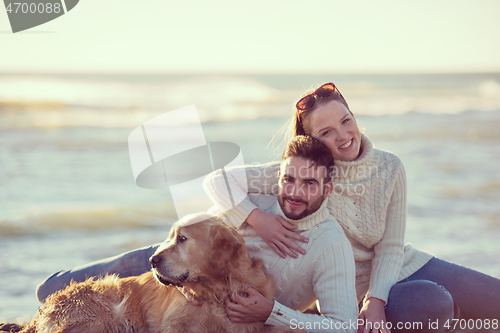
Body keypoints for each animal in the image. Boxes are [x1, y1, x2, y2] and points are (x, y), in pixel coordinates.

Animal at [8, 213, 304, 332]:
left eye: (182, 239)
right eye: (170, 237)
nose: (152, 260)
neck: (215, 293)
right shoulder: (170, 324)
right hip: (104, 311)